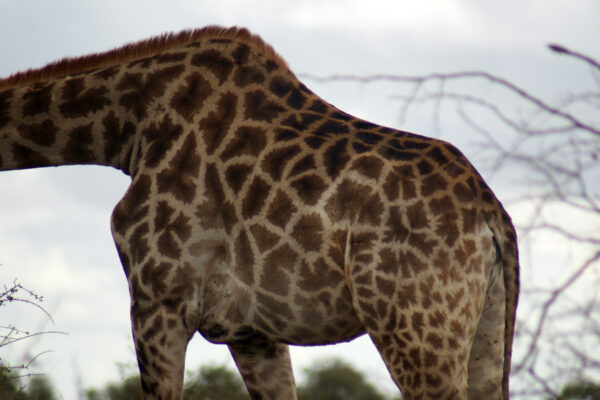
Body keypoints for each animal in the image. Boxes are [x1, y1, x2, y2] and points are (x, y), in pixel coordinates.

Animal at [0, 26, 516, 398]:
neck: (129, 129)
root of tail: (491, 212)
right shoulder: (251, 331)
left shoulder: (158, 301)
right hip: (484, 334)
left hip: (416, 332)